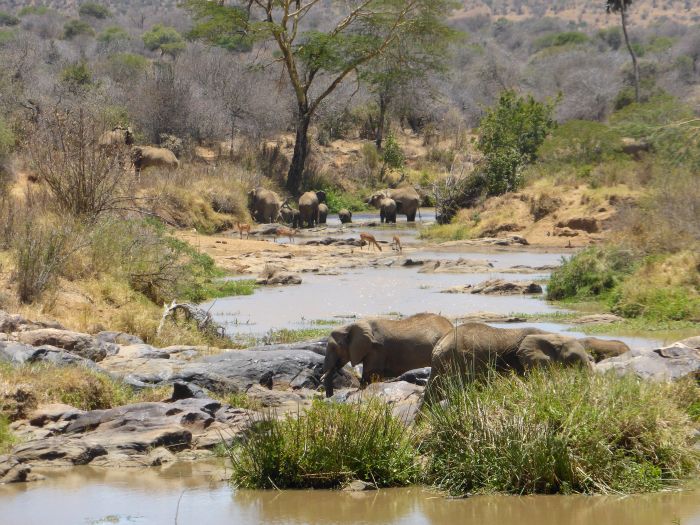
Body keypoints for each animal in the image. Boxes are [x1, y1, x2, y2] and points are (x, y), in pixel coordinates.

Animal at [324, 314, 454, 396]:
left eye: (334, 347)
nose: (330, 396)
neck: (350, 326)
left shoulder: (376, 350)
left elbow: (370, 375)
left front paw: (356, 392)